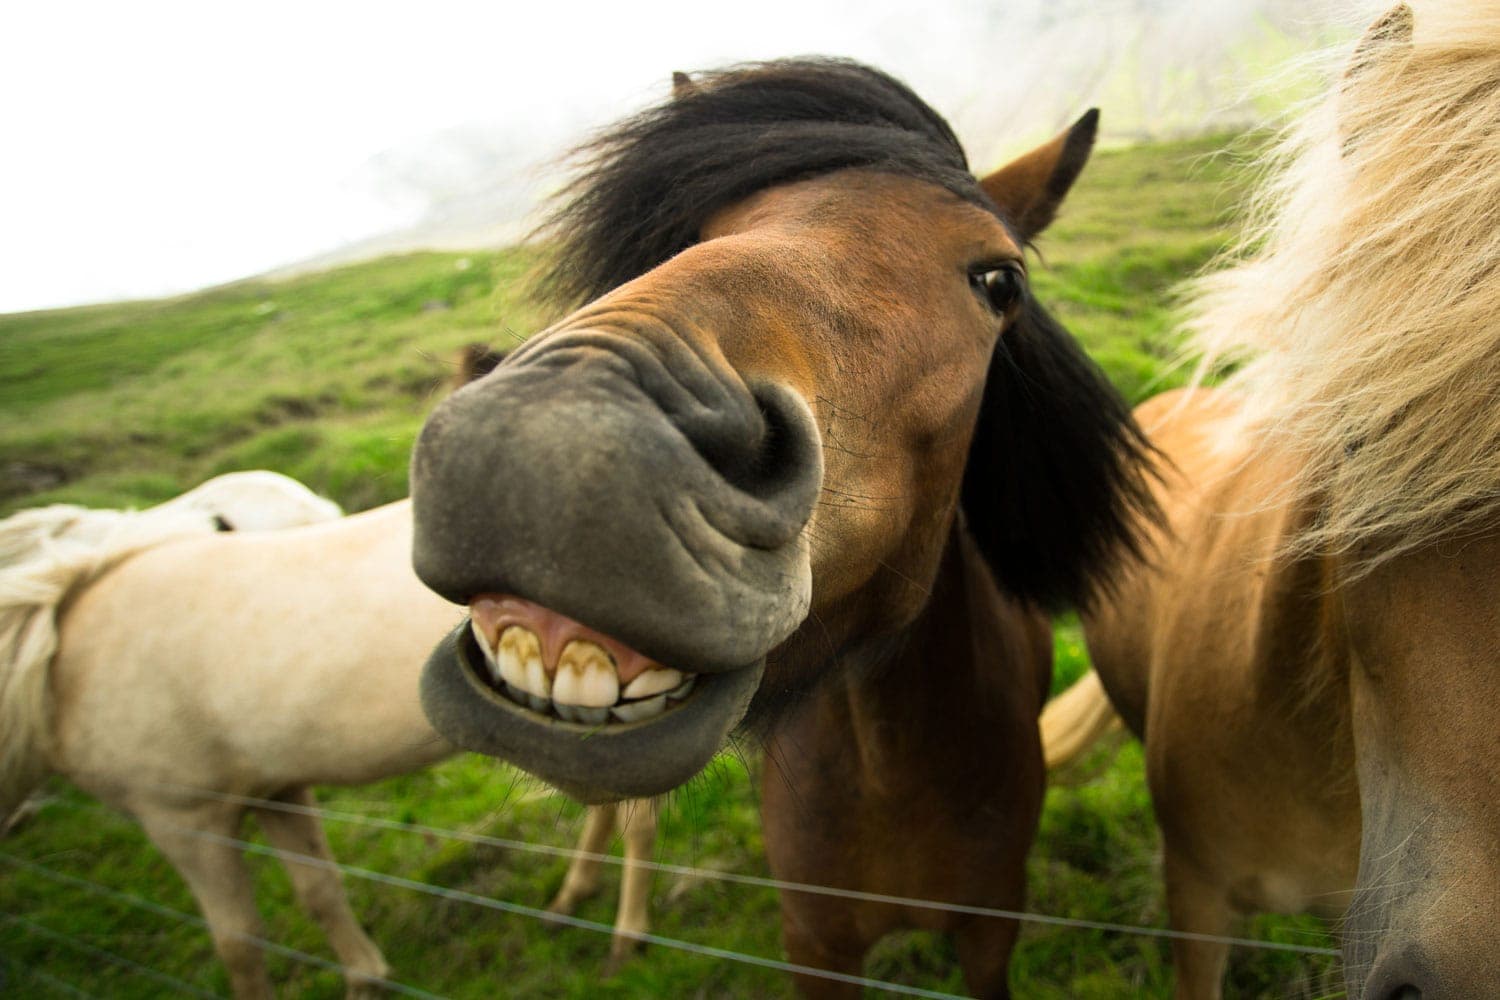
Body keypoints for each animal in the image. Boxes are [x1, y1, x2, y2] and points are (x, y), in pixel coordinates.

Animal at [408, 60, 1158, 995]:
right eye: (698, 229)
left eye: (1001, 282)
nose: (546, 444)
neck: (891, 767)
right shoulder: (815, 941)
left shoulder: (992, 933)